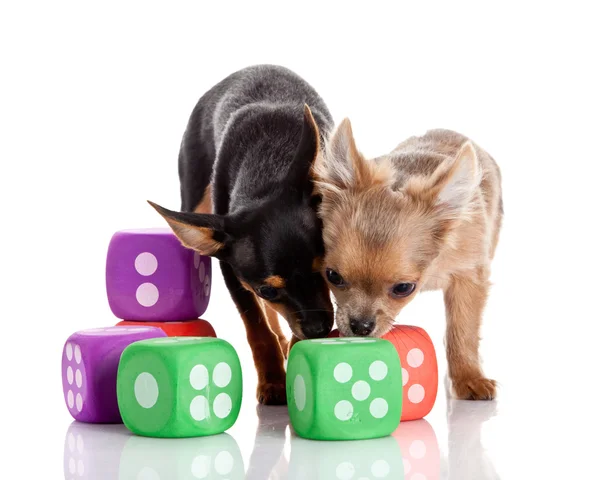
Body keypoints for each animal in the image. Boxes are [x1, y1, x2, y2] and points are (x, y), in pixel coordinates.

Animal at [150, 65, 336, 404]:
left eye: (328, 273)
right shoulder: (232, 270)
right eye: (268, 290)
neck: (270, 171)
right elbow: (256, 325)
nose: (318, 328)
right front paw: (273, 380)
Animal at [314, 122, 502, 400]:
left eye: (403, 288)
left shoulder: (469, 275)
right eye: (333, 276)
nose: (360, 326)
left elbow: (463, 330)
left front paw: (469, 377)